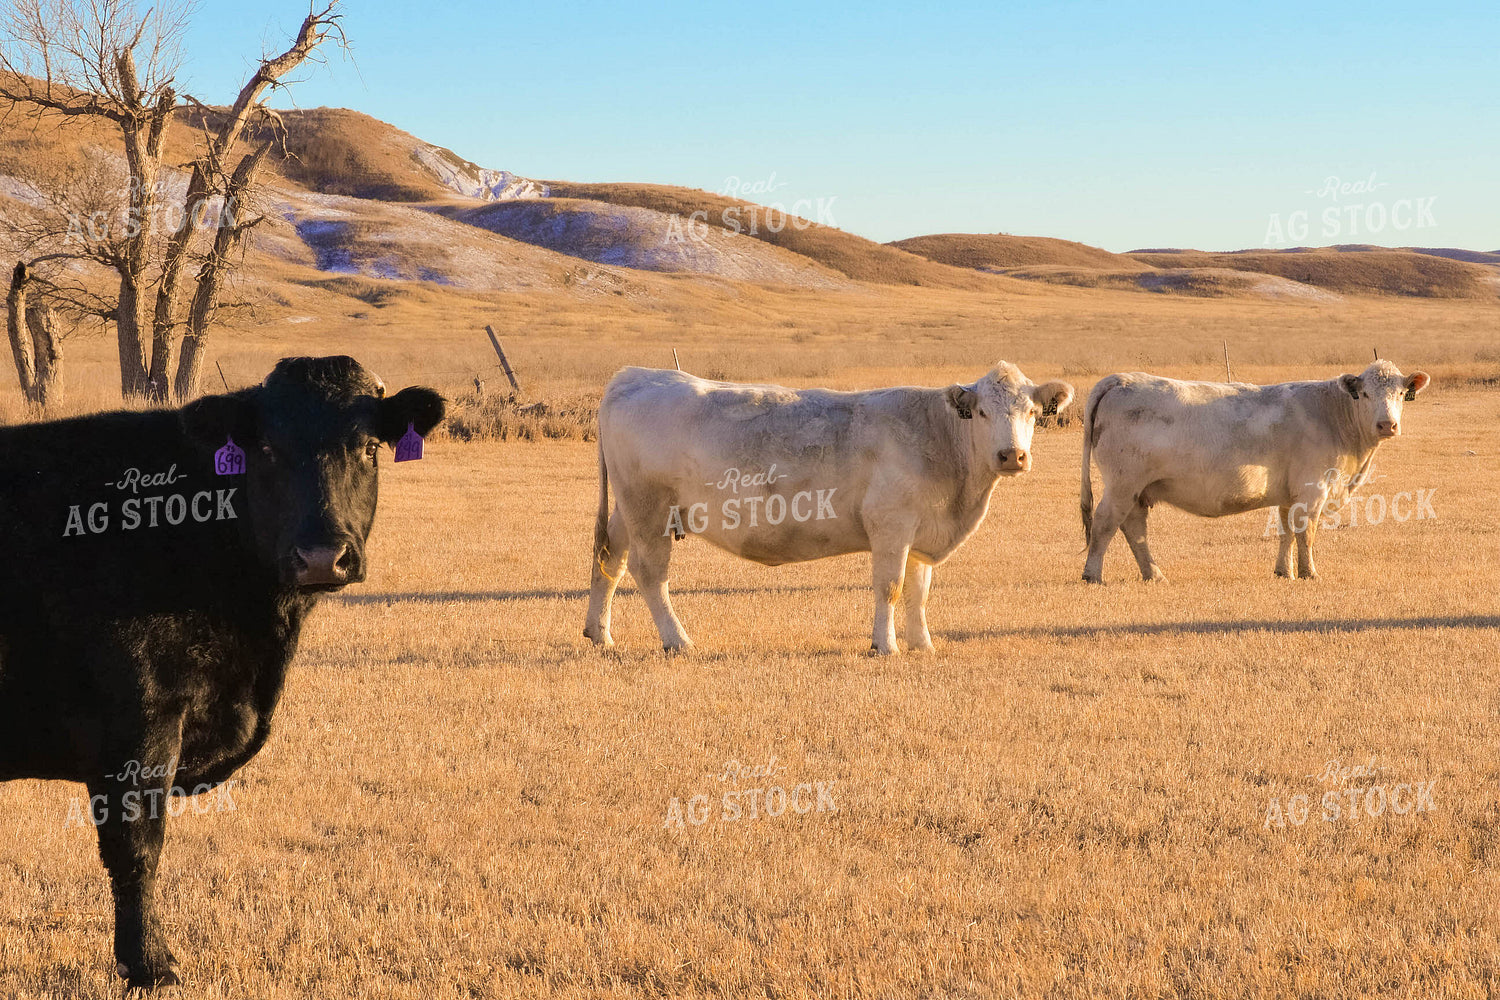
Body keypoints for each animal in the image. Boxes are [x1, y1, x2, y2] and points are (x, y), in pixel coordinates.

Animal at [0, 356, 444, 988]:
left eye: (368, 446)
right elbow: (137, 845)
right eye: (268, 449)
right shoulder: (140, 719)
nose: (321, 555)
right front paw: (149, 965)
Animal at [583, 364, 1075, 655]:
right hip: (649, 510)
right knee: (650, 574)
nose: (1012, 456)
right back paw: (678, 640)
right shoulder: (891, 525)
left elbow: (919, 592)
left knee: (609, 560)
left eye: (1033, 412)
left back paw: (599, 634)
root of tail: (635, 375)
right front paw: (886, 646)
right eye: (983, 413)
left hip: (627, 512)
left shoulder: (921, 531)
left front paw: (923, 644)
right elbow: (890, 588)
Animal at [1079, 360, 1430, 583]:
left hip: (1138, 490)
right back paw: (1092, 575)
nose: (1387, 425)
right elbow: (1306, 532)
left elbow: (1286, 530)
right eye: (1366, 394)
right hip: (1122, 483)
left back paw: (1154, 574)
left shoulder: (1289, 494)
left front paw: (1284, 572)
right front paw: (1309, 573)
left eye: (1401, 394)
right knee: (1105, 523)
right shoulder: (1312, 488)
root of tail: (1120, 379)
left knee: (1135, 529)